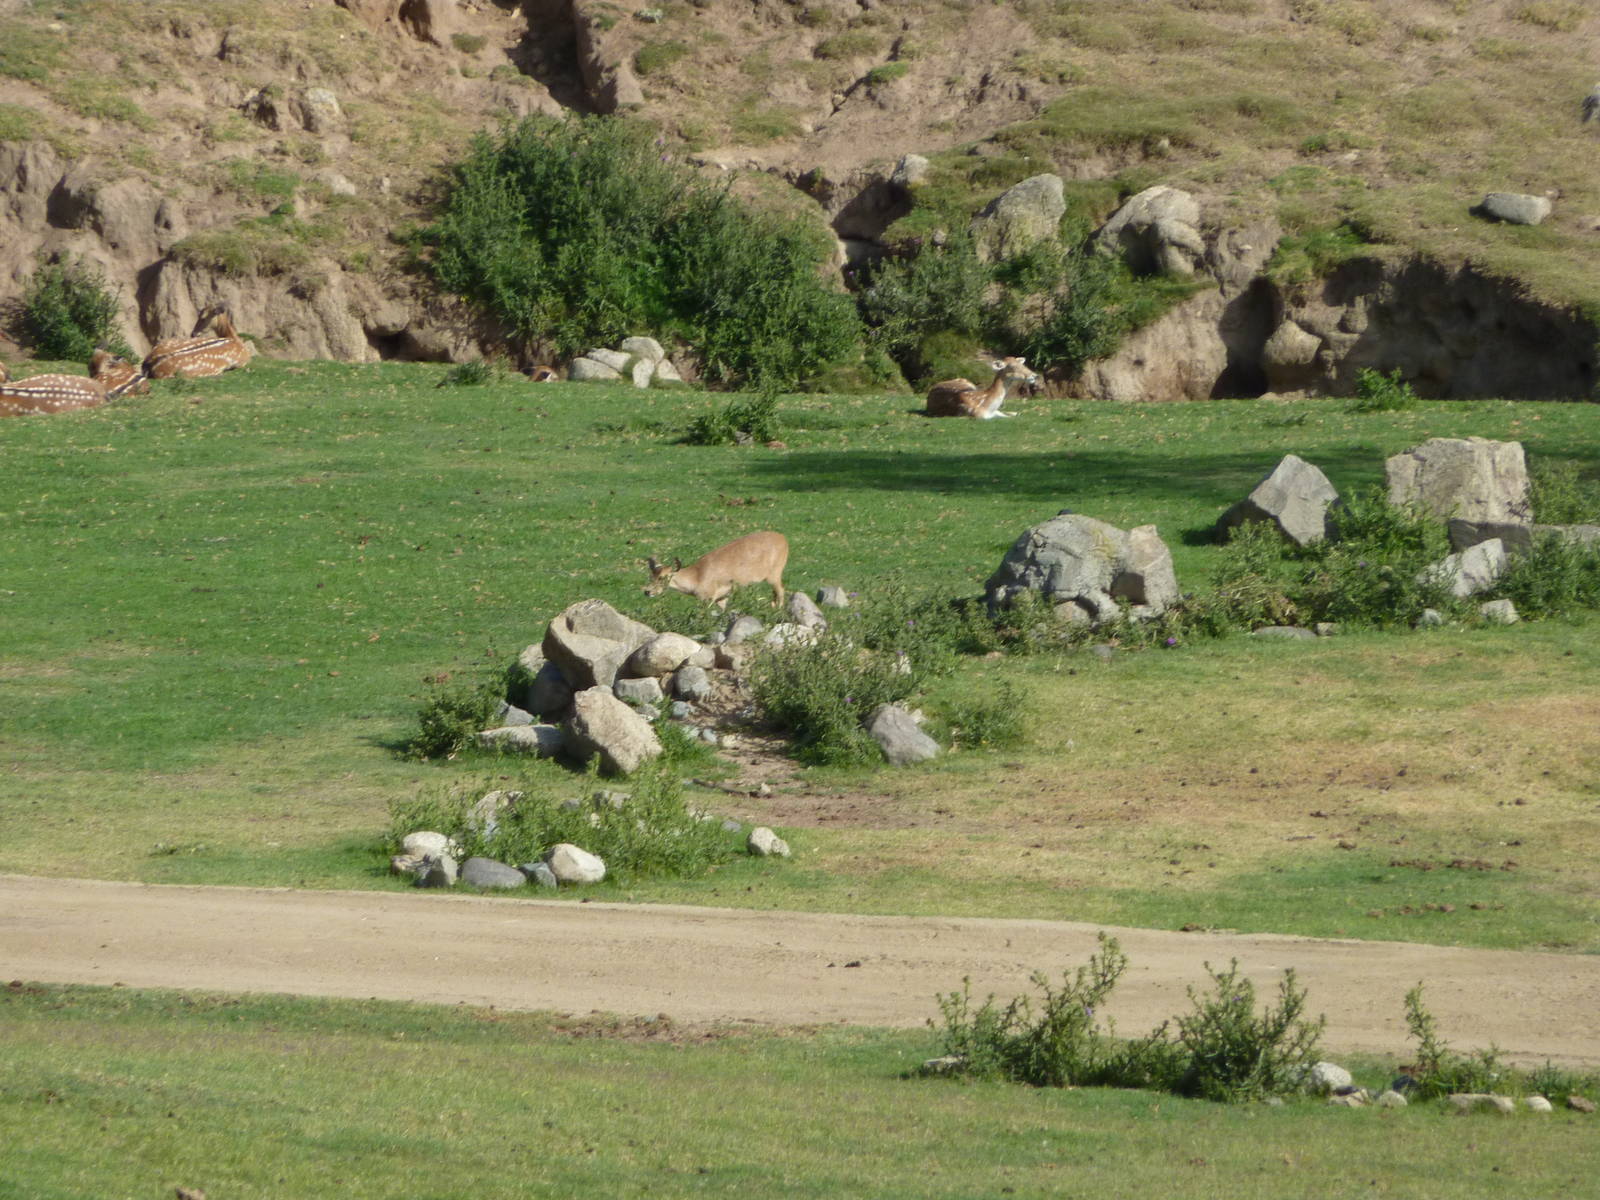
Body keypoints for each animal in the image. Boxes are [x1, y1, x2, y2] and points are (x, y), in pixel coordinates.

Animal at [645, 531, 789, 610]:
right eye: (651, 575)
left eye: (662, 577)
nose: (647, 592)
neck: (696, 577)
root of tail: (785, 540)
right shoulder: (721, 597)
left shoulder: (708, 597)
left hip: (774, 573)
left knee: (781, 590)